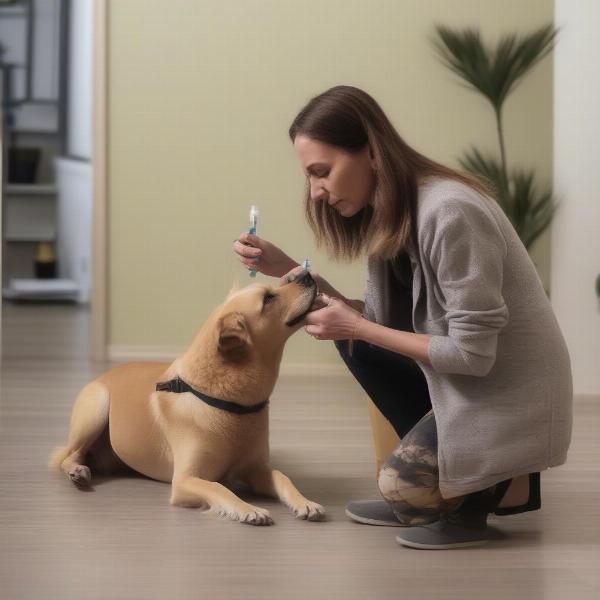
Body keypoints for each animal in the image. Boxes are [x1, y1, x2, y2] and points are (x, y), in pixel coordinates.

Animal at [49, 270, 326, 524]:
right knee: (68, 455)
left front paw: (305, 502)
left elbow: (283, 477)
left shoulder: (256, 469)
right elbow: (220, 488)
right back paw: (77, 471)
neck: (230, 405)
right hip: (96, 407)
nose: (307, 274)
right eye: (268, 298)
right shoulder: (185, 480)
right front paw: (249, 509)